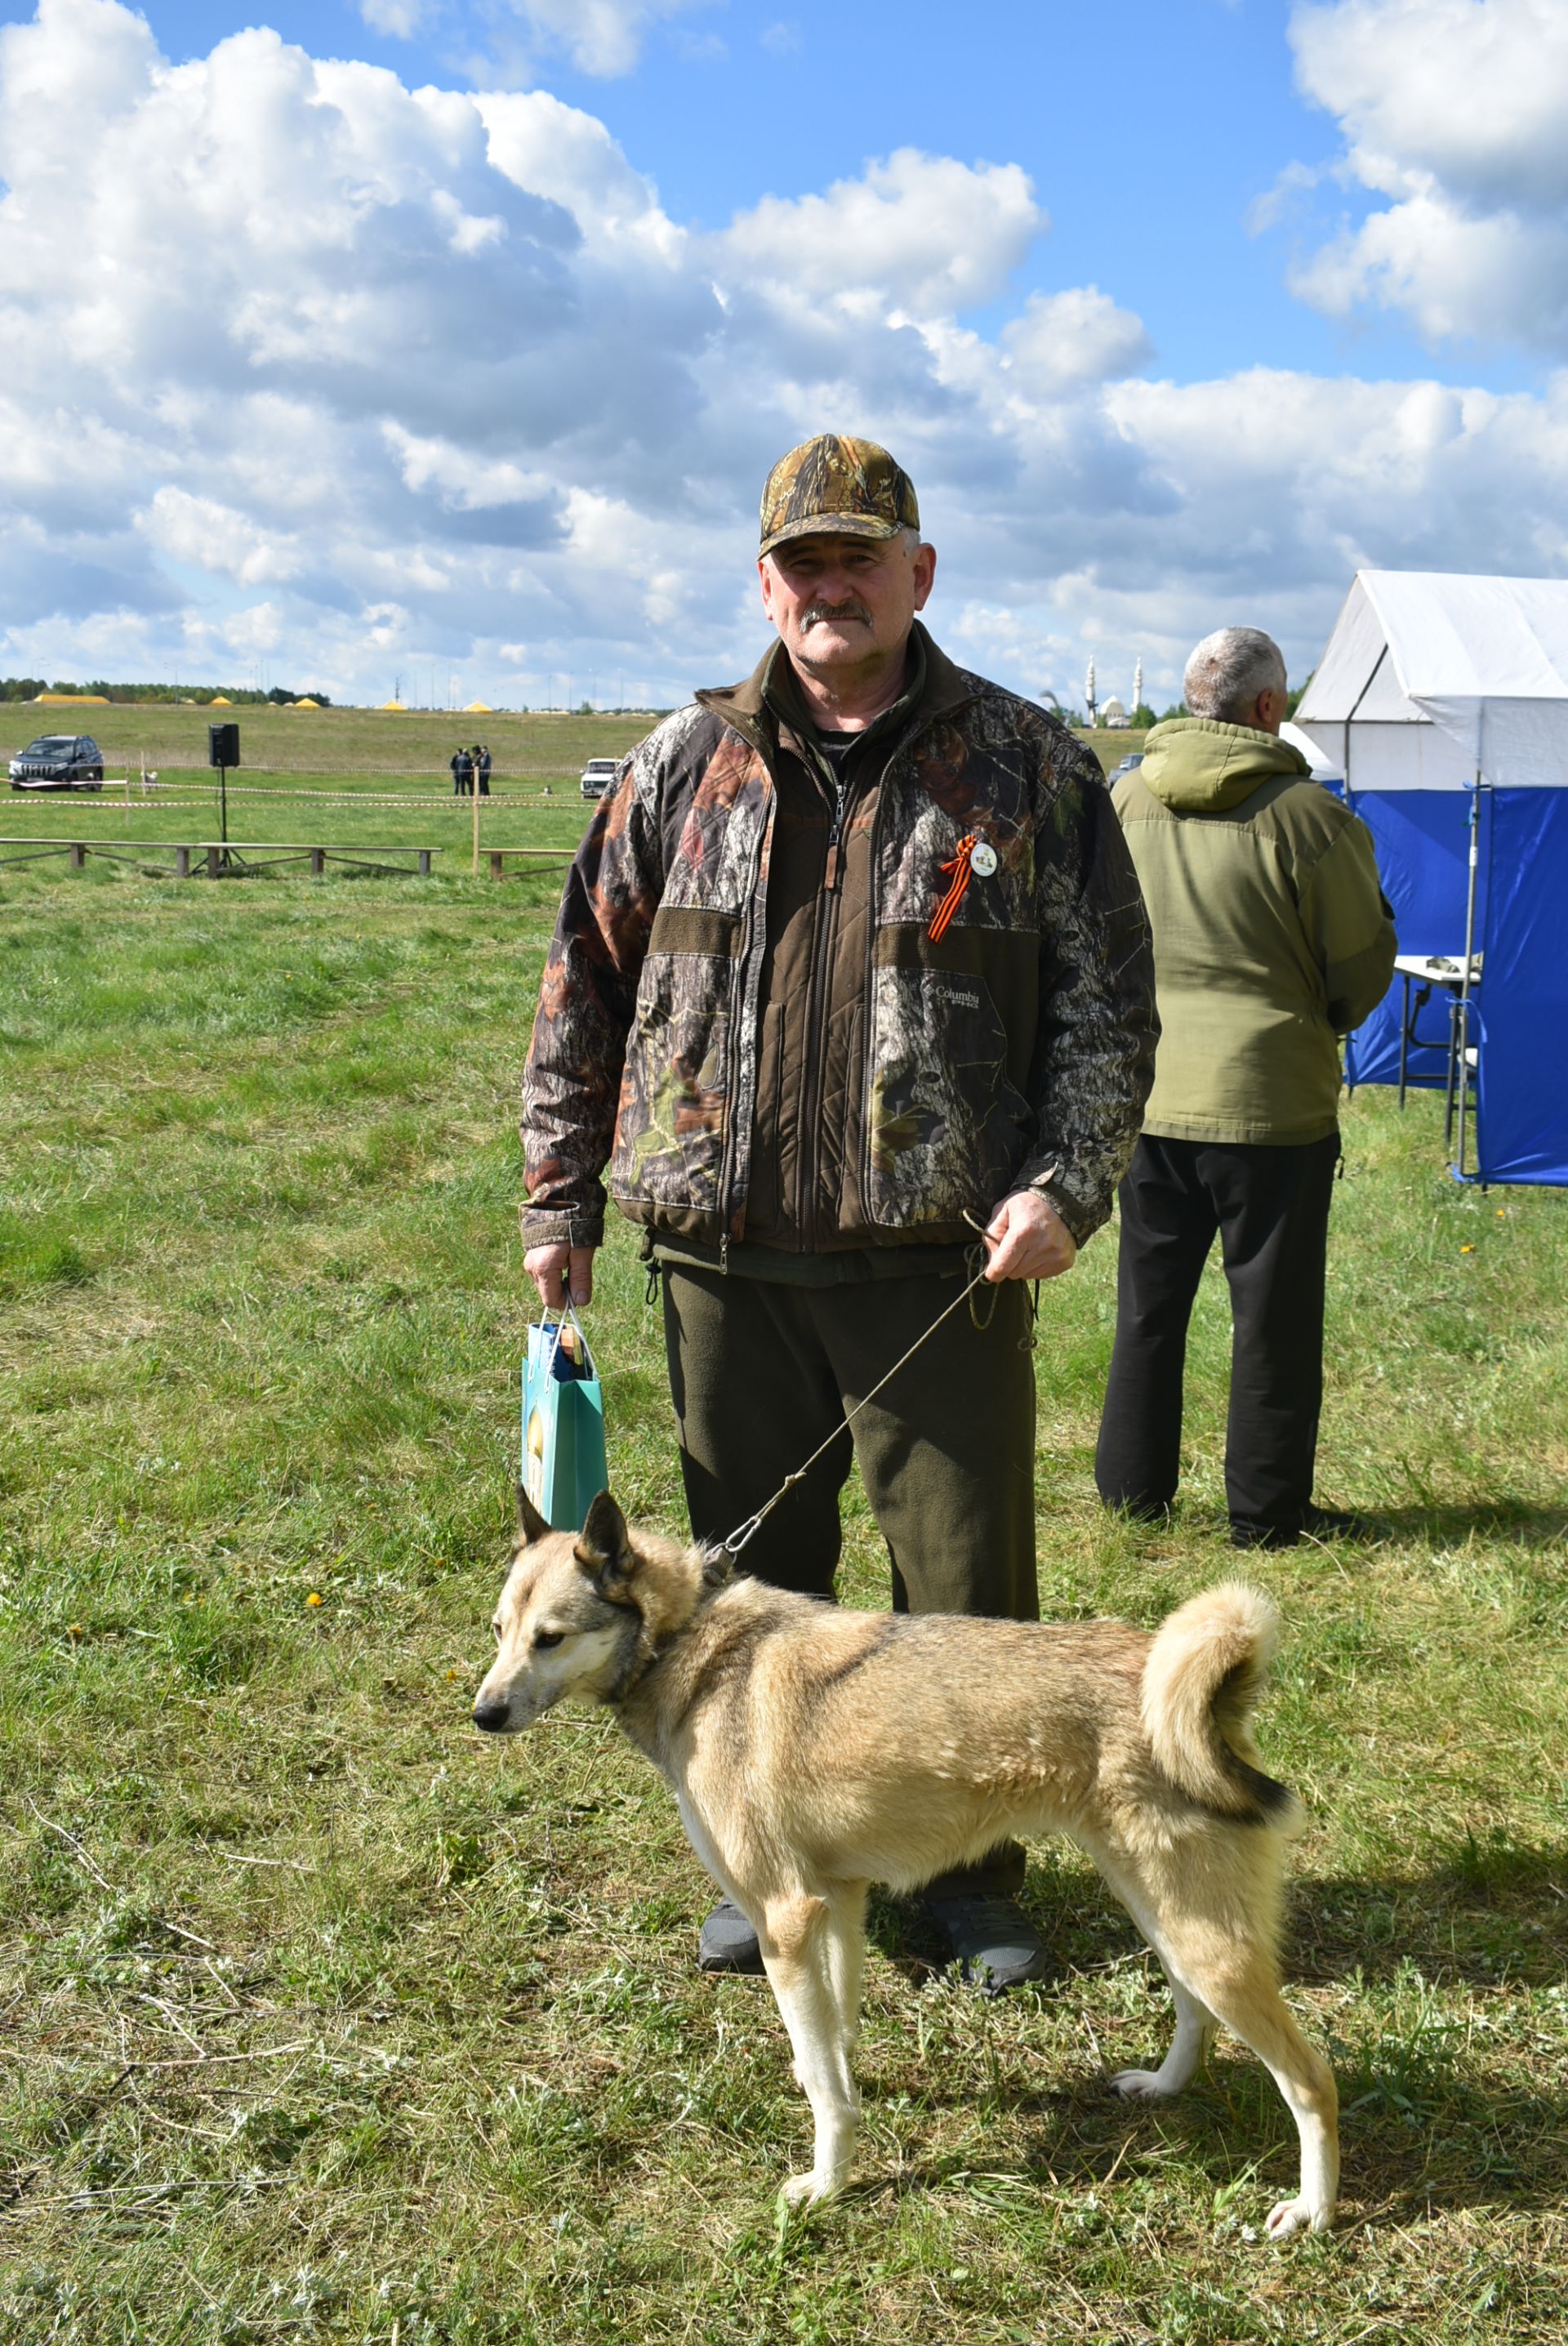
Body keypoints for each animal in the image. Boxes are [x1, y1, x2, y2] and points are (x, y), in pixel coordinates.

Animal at [470, 1492, 1340, 2242]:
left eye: (550, 1637)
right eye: (499, 1630)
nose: (482, 1714)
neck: (688, 1639)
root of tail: (1205, 1695)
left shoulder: (784, 1919)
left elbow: (828, 2089)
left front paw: (825, 2184)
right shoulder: (837, 1900)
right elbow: (833, 2038)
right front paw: (833, 2084)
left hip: (1202, 1937)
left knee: (1311, 2080)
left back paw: (1312, 2211)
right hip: (1164, 1912)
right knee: (1196, 2014)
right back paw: (1164, 2087)